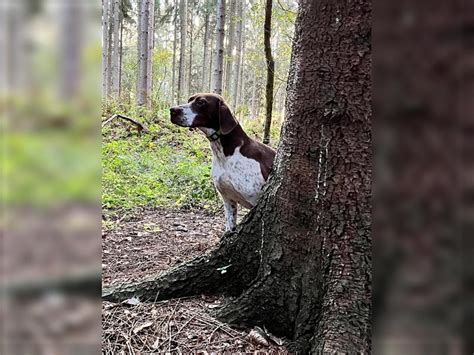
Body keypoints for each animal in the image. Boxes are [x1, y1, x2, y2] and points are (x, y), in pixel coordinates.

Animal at [170, 92, 276, 231]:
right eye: (189, 100)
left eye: (201, 102)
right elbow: (229, 227)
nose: (172, 110)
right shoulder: (228, 199)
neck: (225, 154)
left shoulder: (255, 200)